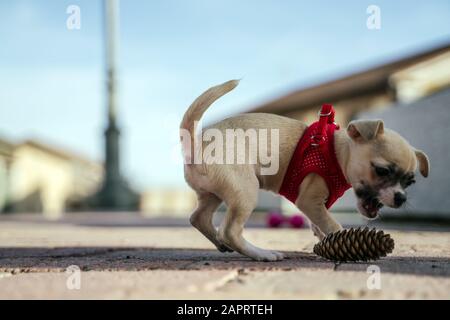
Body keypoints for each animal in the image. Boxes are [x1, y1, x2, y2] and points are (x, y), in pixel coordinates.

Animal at [179, 79, 428, 260]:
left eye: (410, 182)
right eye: (382, 171)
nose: (401, 198)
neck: (335, 152)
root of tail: (195, 144)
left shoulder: (317, 206)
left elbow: (319, 223)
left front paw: (327, 241)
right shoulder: (309, 201)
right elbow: (332, 224)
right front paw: (340, 240)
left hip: (213, 193)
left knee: (199, 218)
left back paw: (220, 243)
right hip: (245, 192)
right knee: (230, 231)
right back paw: (262, 254)